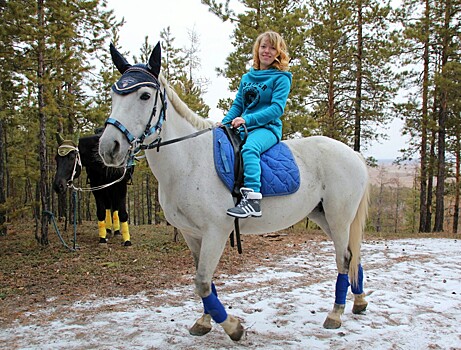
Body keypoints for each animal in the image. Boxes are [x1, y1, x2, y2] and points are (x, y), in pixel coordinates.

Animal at [99, 42, 368, 340]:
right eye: (113, 94)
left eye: (145, 95)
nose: (109, 147)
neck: (190, 160)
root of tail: (354, 155)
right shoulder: (192, 233)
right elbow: (205, 282)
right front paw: (205, 321)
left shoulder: (216, 231)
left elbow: (202, 282)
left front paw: (233, 327)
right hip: (323, 216)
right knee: (354, 256)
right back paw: (359, 302)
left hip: (338, 217)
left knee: (344, 258)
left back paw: (335, 314)